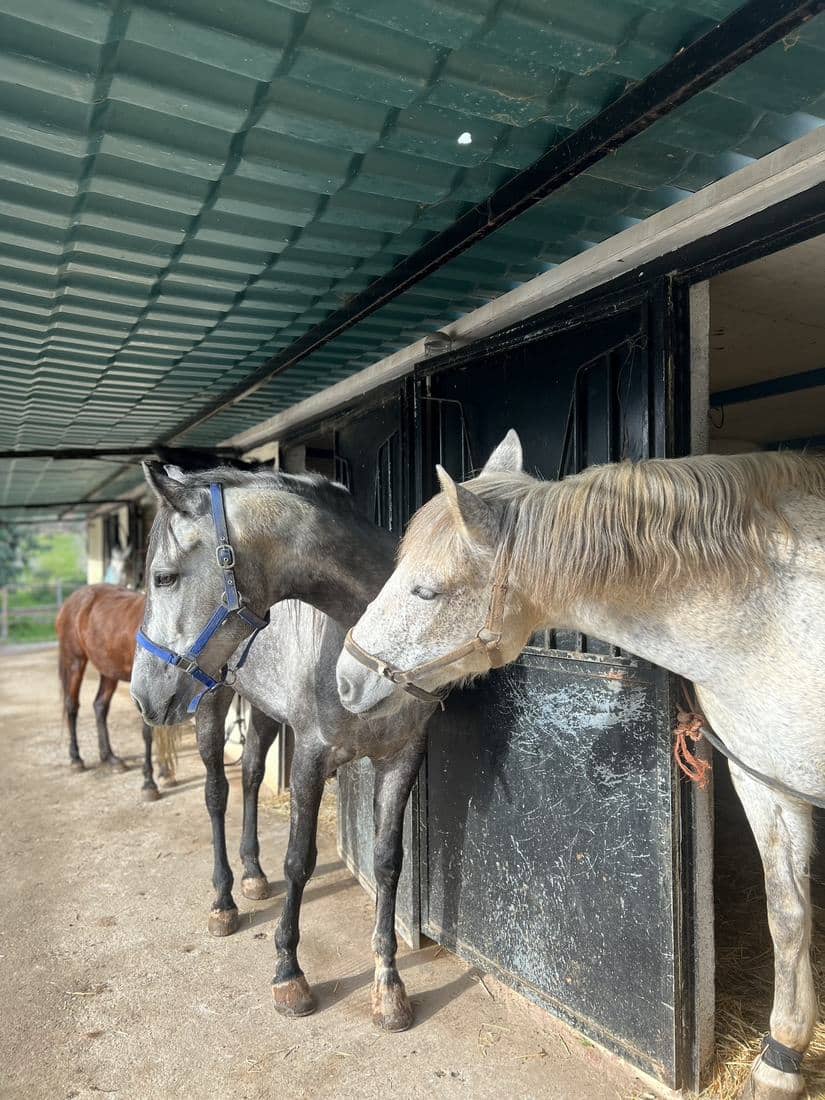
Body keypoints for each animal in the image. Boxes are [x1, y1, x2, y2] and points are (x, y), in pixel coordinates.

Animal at [56, 583, 182, 800]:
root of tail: (73, 599)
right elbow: (147, 732)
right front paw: (149, 783)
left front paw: (165, 772)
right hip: (74, 660)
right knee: (72, 706)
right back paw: (76, 759)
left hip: (108, 670)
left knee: (100, 706)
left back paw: (110, 759)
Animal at [128, 462, 435, 1031]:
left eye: (163, 577)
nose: (142, 696)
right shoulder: (312, 756)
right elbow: (299, 861)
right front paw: (289, 974)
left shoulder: (403, 756)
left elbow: (387, 862)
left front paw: (388, 986)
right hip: (211, 702)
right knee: (217, 794)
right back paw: (224, 901)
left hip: (265, 710)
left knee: (250, 774)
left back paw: (252, 875)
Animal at [336, 430, 825, 1100]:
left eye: (426, 592)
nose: (345, 679)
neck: (767, 622)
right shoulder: (763, 781)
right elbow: (788, 915)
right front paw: (781, 1061)